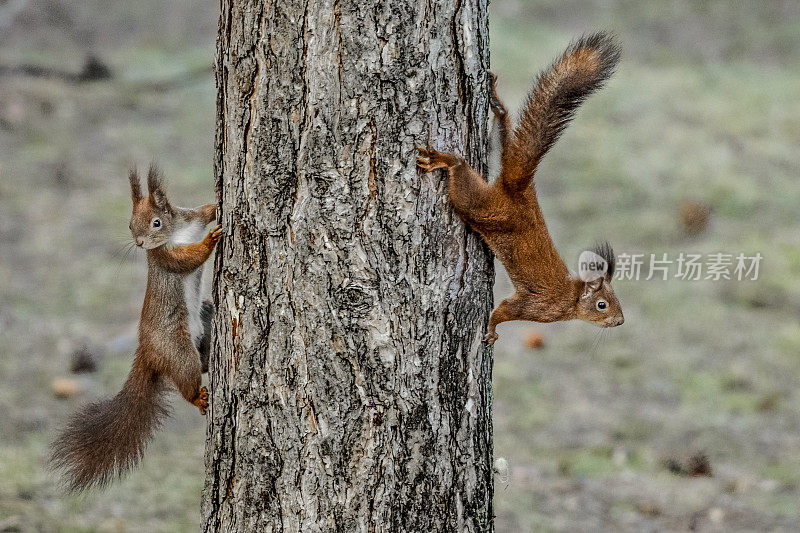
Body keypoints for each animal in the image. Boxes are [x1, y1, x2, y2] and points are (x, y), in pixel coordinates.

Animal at [50, 165, 220, 490]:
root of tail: (147, 350)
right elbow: (187, 259)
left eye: (156, 222)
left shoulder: (188, 217)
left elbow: (201, 212)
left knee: (205, 360)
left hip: (204, 322)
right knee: (188, 376)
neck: (177, 232)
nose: (141, 243)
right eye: (130, 225)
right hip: (178, 350)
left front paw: (216, 206)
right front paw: (209, 242)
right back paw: (197, 397)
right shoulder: (165, 257)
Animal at [418, 32, 624, 344]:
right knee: (462, 176)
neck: (572, 298)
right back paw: (445, 160)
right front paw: (492, 331)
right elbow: (503, 310)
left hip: (497, 159)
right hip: (482, 207)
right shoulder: (536, 305)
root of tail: (518, 188)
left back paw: (497, 104)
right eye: (602, 305)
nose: (621, 321)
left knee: (504, 134)